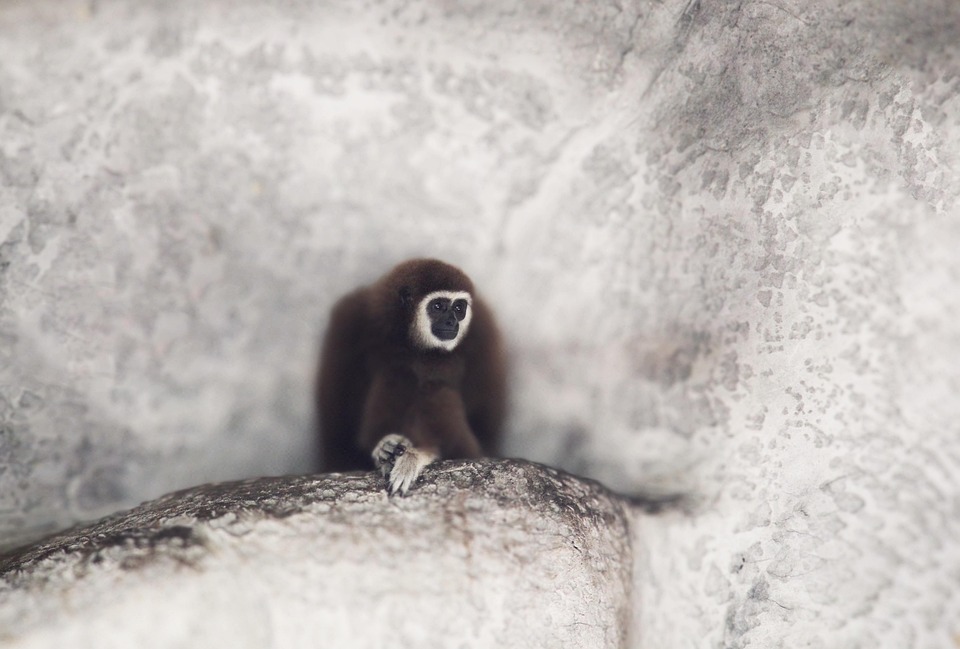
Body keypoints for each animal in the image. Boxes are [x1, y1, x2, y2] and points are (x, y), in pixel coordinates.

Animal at [315, 258, 506, 495]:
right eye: (438, 306)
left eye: (459, 308)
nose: (452, 322)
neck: (406, 338)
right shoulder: (351, 318)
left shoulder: (482, 332)